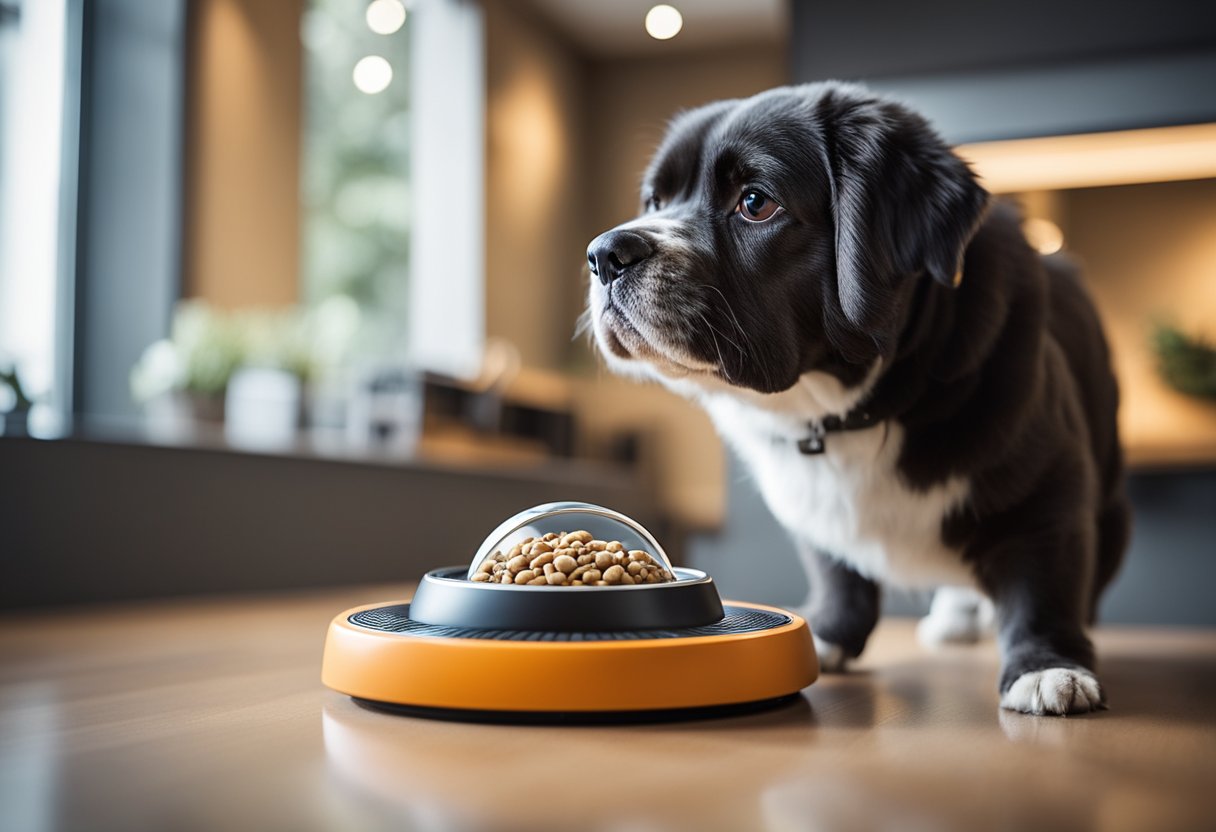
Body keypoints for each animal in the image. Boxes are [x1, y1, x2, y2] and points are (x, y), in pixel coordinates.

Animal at [583, 81, 1123, 715]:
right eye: (654, 200)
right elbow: (839, 572)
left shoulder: (1052, 489)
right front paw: (829, 633)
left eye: (755, 202)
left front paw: (1048, 666)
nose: (605, 253)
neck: (842, 410)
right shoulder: (815, 514)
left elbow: (1042, 586)